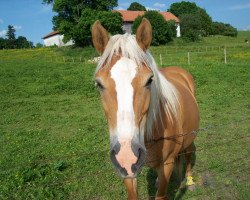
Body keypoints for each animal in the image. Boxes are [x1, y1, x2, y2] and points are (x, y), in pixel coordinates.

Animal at [91, 18, 199, 199]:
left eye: (149, 80)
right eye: (99, 83)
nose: (127, 155)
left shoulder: (168, 163)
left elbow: (161, 193)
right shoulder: (128, 171)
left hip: (189, 137)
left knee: (189, 153)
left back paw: (190, 181)